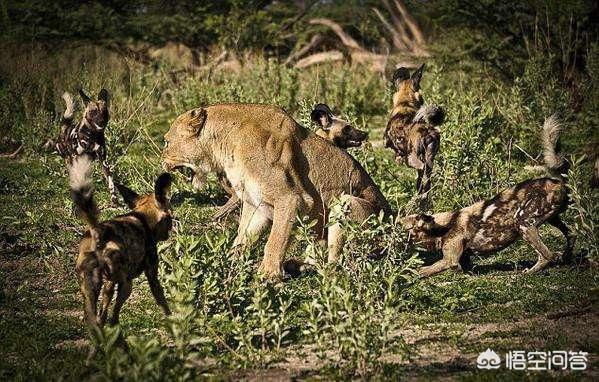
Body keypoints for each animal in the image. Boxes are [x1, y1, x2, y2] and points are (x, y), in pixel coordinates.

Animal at [70, 155, 175, 358]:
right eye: (169, 219)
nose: (169, 232)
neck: (142, 217)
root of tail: (98, 232)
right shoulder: (152, 276)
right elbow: (163, 305)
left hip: (90, 289)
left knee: (96, 323)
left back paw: (96, 355)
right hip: (125, 285)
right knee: (111, 319)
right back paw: (122, 350)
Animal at [384, 65, 446, 203]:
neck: (405, 103)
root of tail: (427, 132)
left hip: (412, 159)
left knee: (422, 170)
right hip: (430, 159)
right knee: (427, 180)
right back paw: (423, 199)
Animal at [404, 115, 572, 276]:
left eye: (402, 227)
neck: (442, 227)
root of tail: (557, 181)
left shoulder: (450, 261)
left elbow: (423, 270)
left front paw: (411, 273)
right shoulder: (463, 262)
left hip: (523, 223)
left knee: (547, 255)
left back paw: (528, 272)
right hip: (552, 219)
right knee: (571, 235)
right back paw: (566, 257)